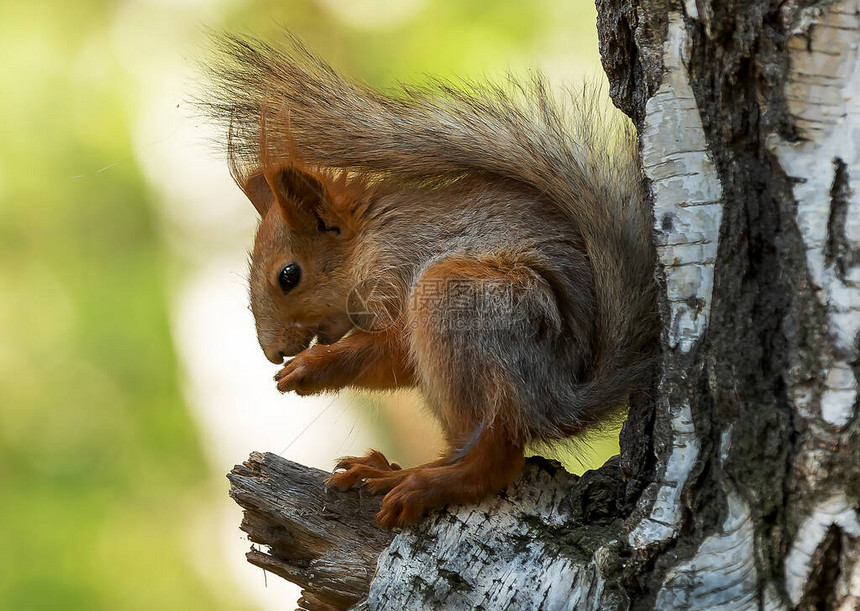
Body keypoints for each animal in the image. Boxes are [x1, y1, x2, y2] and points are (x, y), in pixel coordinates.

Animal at [203, 34, 660, 532]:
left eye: (289, 275)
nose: (272, 352)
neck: (366, 242)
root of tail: (560, 397)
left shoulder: (399, 268)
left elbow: (394, 348)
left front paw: (309, 368)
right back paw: (386, 471)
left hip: (462, 306)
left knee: (497, 460)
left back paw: (422, 483)